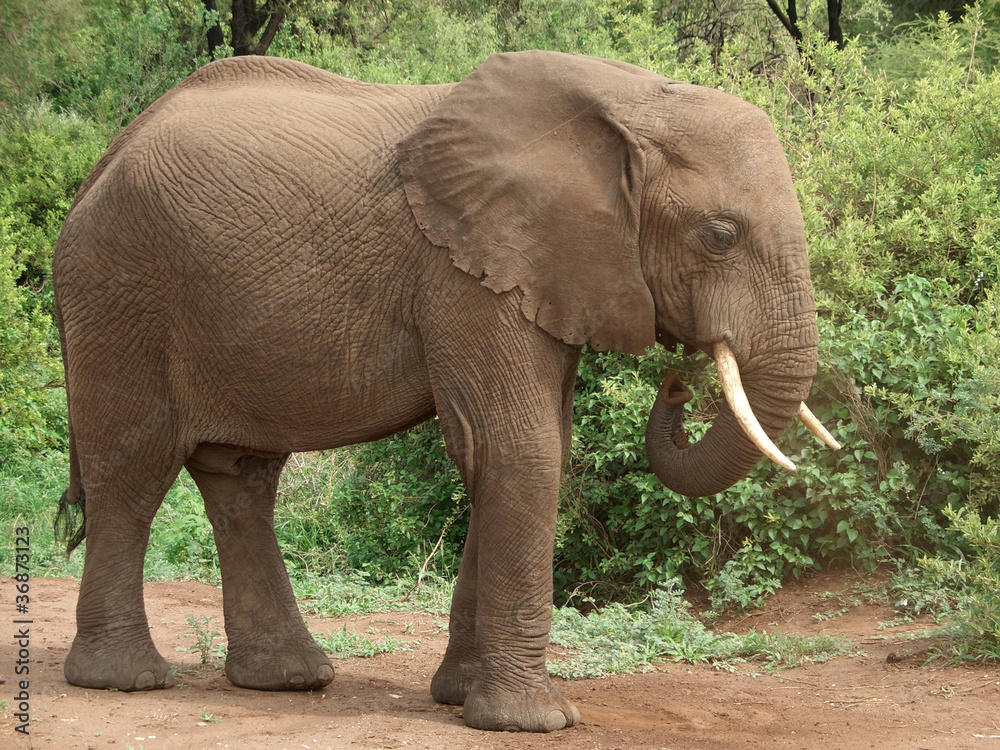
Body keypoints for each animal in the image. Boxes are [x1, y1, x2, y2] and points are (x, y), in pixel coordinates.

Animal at [52, 51, 836, 736]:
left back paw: (289, 680)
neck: (630, 99)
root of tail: (102, 161)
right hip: (120, 292)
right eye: (719, 235)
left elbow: (524, 450)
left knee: (241, 478)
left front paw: (460, 697)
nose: (675, 383)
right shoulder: (467, 271)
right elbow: (518, 448)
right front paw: (531, 722)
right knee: (132, 472)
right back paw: (126, 679)